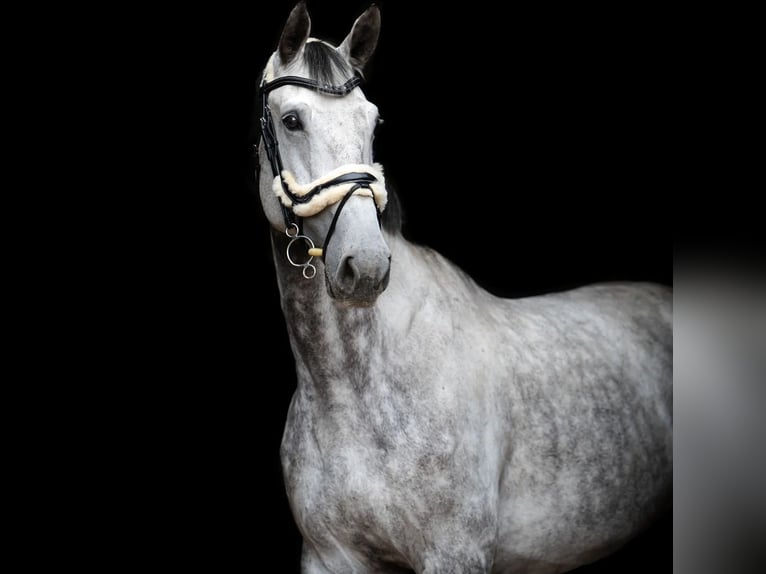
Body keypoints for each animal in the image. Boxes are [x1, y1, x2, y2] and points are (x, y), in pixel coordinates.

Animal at [254, 2, 672, 572]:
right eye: (292, 120)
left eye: (373, 120)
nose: (366, 266)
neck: (354, 393)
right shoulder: (328, 556)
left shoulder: (454, 553)